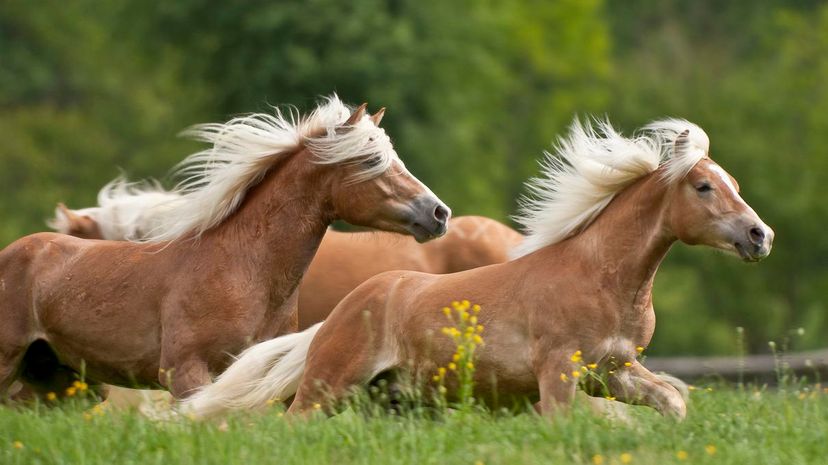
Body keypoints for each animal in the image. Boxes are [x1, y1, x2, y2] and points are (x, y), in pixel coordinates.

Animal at [183, 116, 776, 416]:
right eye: (703, 187)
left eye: (734, 184)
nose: (760, 236)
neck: (603, 279)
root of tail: (335, 317)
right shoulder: (559, 374)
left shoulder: (614, 371)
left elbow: (672, 401)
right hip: (327, 388)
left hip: (394, 400)